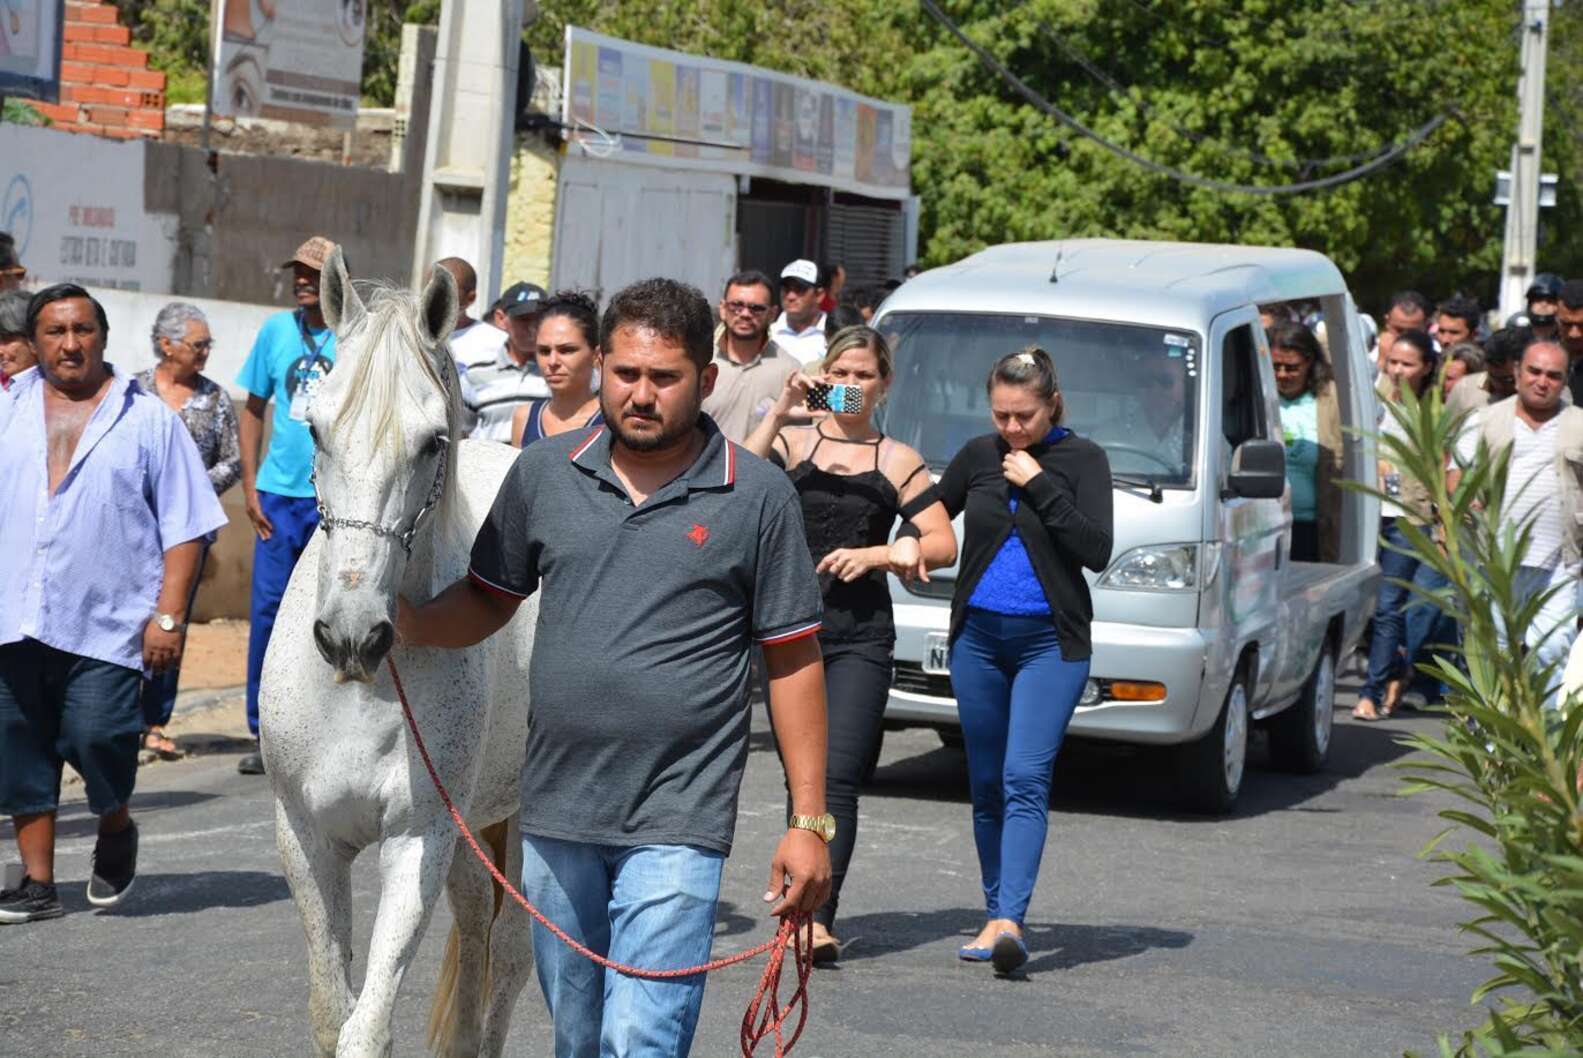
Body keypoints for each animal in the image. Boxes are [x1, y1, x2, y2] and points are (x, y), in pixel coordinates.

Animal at [256, 250, 535, 1058]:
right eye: (315, 430)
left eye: (432, 441)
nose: (351, 636)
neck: (360, 691)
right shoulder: (306, 838)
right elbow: (332, 1011)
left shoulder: (418, 841)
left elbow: (366, 1027)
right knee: (475, 923)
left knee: (510, 950)